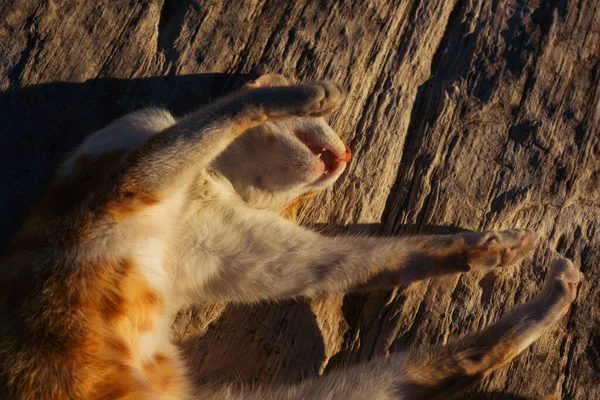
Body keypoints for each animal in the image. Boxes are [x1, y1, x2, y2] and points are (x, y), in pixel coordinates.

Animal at [0, 73, 580, 398]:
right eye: (332, 129)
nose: (348, 152)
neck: (207, 181)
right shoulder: (129, 172)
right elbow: (219, 114)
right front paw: (309, 92)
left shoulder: (234, 246)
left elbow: (373, 258)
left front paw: (491, 249)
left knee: (446, 364)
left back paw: (553, 299)